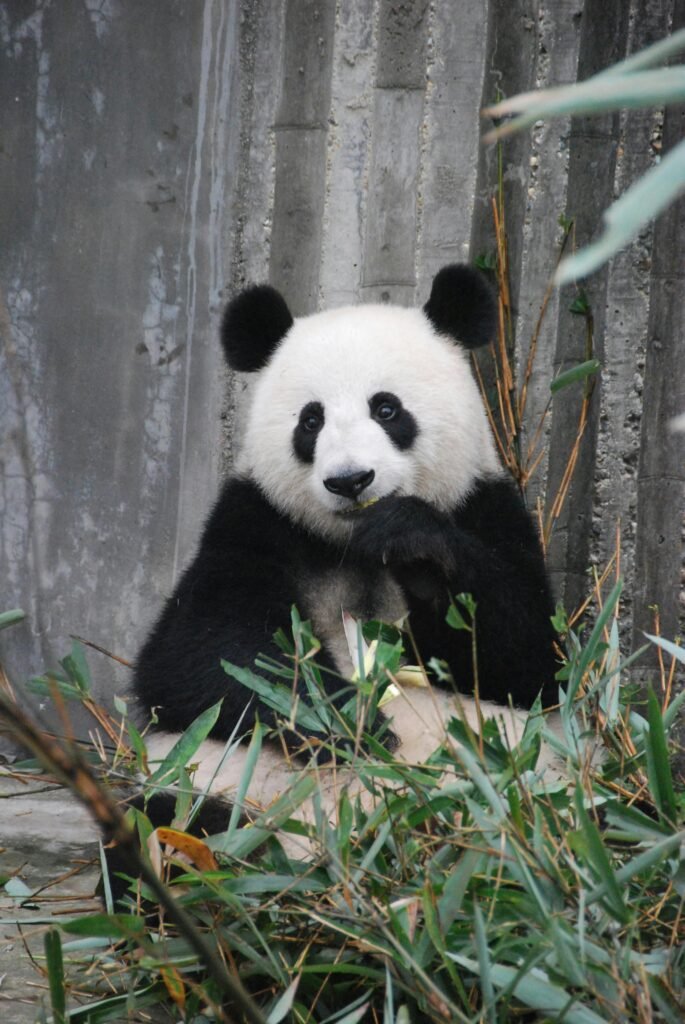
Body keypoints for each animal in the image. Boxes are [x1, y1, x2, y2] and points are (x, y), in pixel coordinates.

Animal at [129, 264, 561, 856]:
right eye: (311, 421)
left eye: (387, 408)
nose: (351, 480)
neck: (353, 544)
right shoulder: (254, 523)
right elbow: (198, 658)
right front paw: (353, 720)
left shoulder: (483, 506)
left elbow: (527, 659)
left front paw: (414, 544)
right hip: (207, 780)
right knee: (165, 823)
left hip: (519, 791)